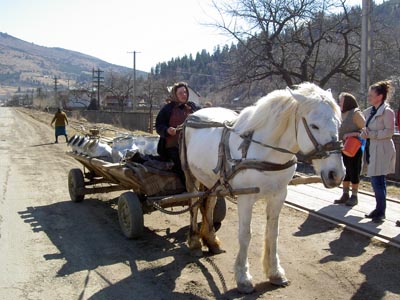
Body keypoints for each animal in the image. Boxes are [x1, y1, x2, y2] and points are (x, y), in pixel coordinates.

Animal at [183, 82, 346, 292]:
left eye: (338, 124)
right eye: (314, 125)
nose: (336, 174)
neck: (265, 151)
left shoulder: (279, 195)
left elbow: (273, 233)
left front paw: (275, 272)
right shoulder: (246, 198)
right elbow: (245, 235)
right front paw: (243, 277)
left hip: (212, 181)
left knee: (208, 204)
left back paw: (211, 240)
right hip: (191, 177)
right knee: (194, 205)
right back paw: (195, 242)